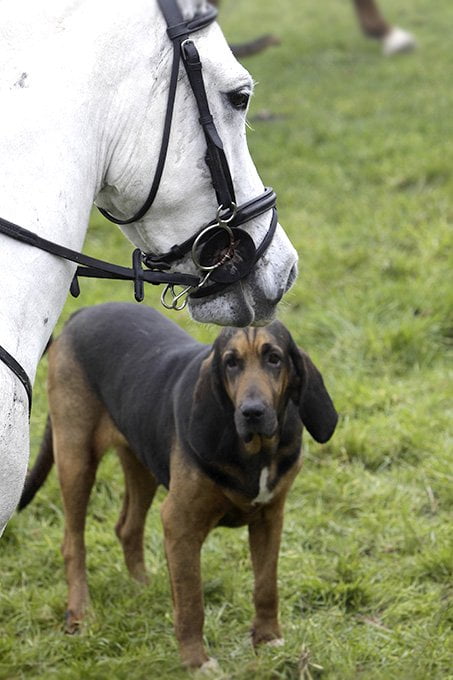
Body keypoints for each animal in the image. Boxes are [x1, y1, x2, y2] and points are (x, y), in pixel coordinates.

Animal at [19, 304, 338, 668]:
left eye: (274, 359)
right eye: (230, 362)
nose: (252, 412)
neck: (255, 451)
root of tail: (81, 313)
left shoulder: (270, 518)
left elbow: (266, 585)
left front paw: (268, 638)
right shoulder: (180, 523)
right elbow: (191, 601)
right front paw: (196, 662)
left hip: (140, 460)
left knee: (127, 527)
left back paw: (143, 587)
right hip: (76, 458)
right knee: (73, 544)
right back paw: (80, 613)